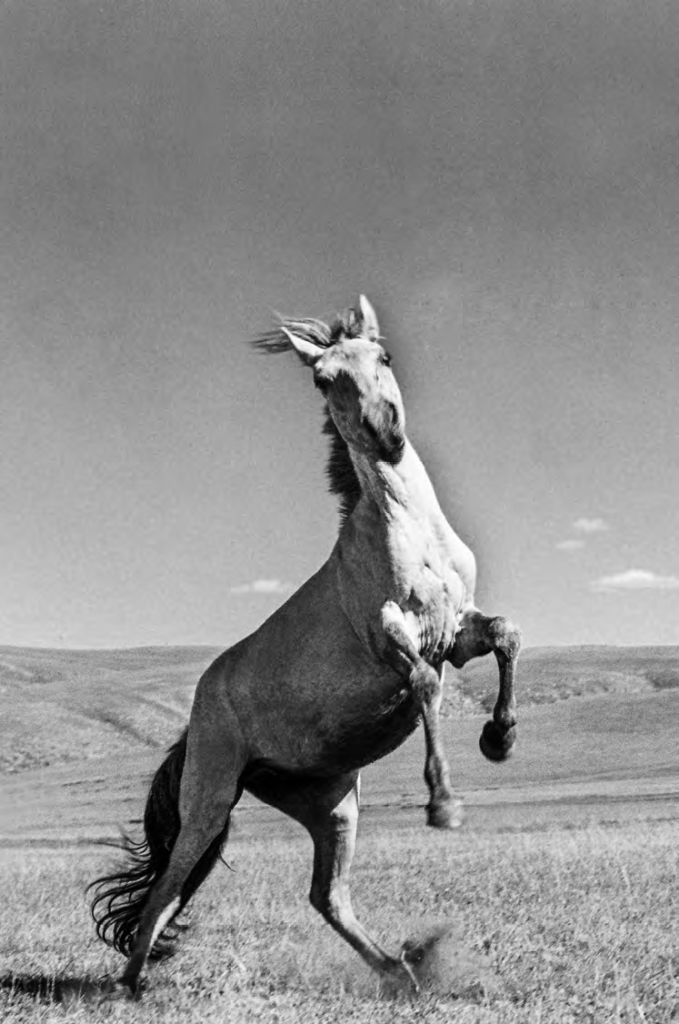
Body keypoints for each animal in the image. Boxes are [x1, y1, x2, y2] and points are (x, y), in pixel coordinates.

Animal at [90, 295, 520, 997]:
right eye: (323, 379)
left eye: (385, 356)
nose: (385, 433)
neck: (414, 539)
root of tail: (194, 719)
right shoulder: (390, 639)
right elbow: (425, 684)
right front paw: (444, 806)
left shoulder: (457, 633)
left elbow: (507, 635)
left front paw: (500, 738)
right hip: (210, 801)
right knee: (167, 887)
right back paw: (131, 985)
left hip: (330, 805)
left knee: (327, 897)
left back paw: (403, 970)